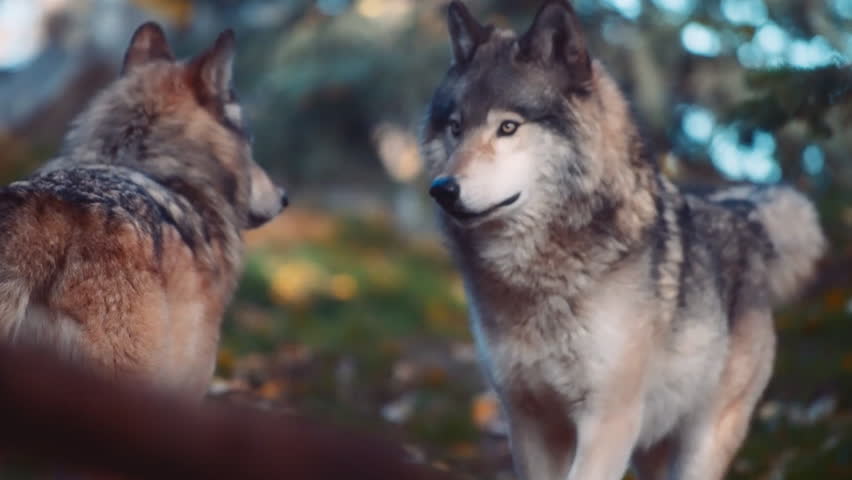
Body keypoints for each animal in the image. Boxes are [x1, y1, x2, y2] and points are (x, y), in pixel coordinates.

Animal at [421, 1, 826, 479]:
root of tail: (742, 214)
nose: (442, 189)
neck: (540, 274)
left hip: (701, 442)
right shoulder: (527, 420)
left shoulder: (608, 420)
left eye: (507, 127)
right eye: (455, 127)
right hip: (649, 449)